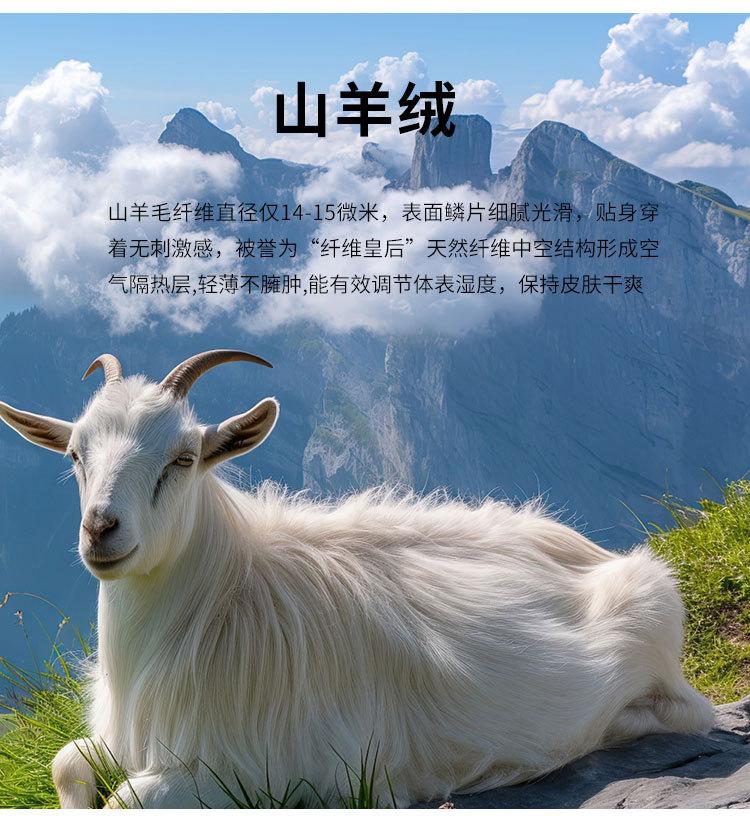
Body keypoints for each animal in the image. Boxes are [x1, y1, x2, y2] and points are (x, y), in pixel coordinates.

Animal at [0, 350, 714, 808]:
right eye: (75, 454)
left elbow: (124, 800)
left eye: (183, 457)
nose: (101, 530)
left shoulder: (247, 775)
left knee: (688, 713)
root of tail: (596, 551)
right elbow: (66, 764)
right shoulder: (122, 739)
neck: (216, 600)